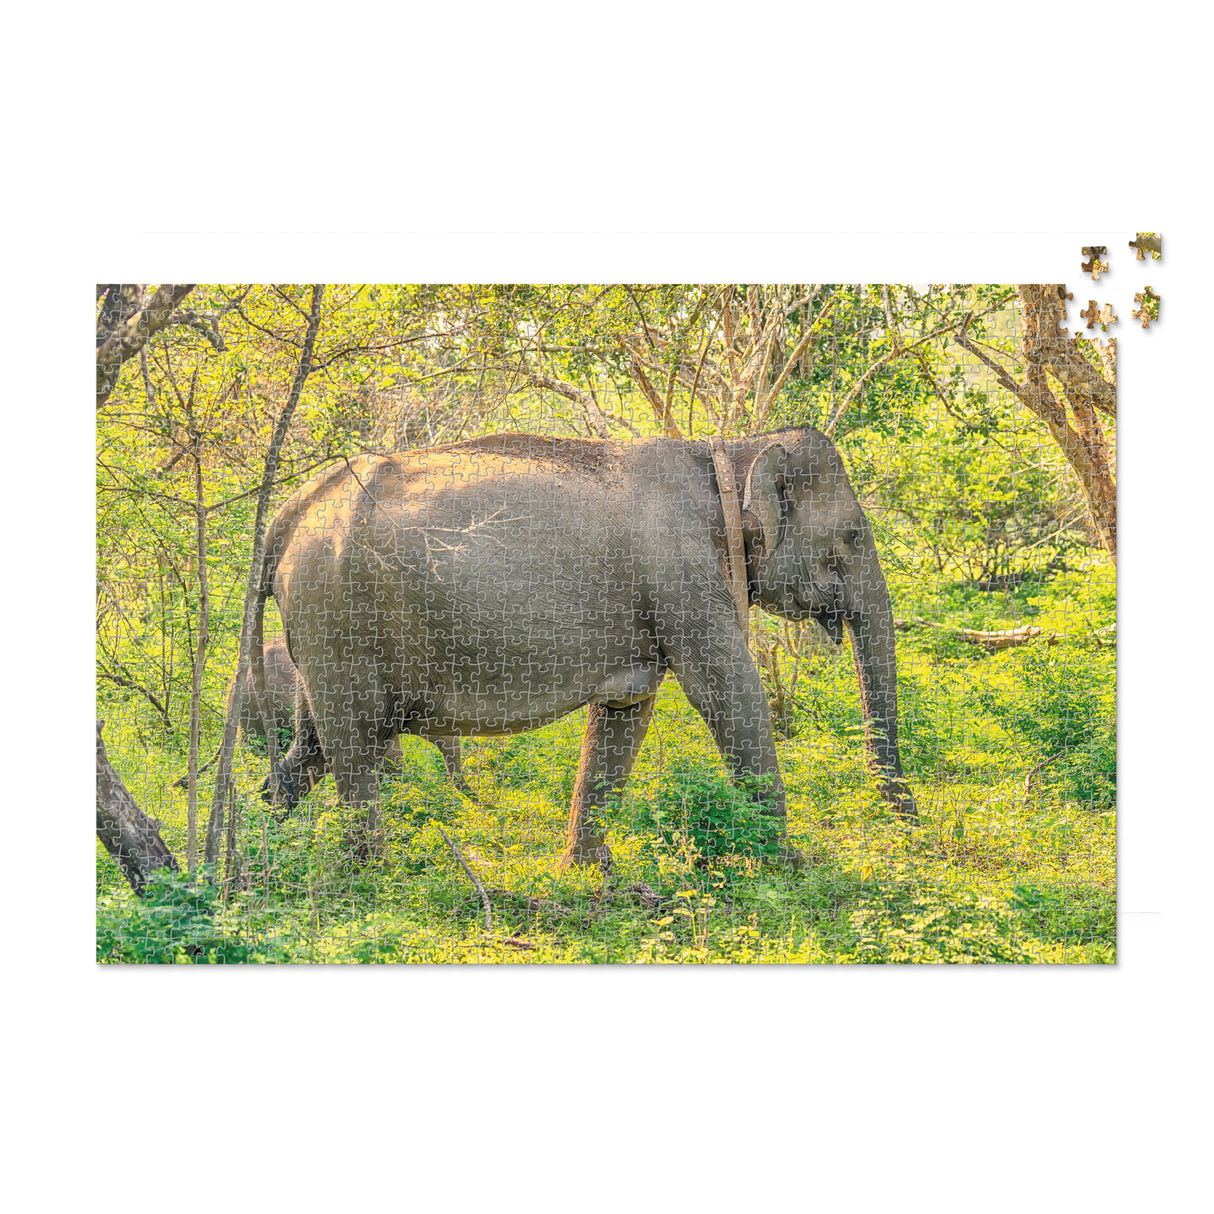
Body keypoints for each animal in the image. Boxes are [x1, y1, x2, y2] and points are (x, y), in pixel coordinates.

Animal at [254, 427, 916, 866]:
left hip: (320, 634)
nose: (908, 835)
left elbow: (626, 712)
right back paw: (372, 875)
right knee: (353, 746)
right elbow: (730, 696)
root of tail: (293, 509)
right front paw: (795, 873)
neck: (728, 448)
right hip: (336, 618)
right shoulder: (683, 577)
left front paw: (593, 877)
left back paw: (264, 858)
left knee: (311, 748)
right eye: (852, 534)